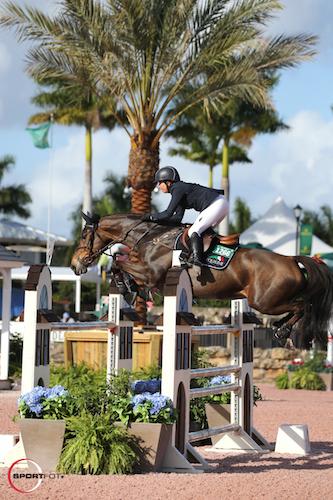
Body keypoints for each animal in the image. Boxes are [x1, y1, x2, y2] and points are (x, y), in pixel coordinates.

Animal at [70, 212, 332, 348]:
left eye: (84, 234)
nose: (75, 264)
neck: (150, 237)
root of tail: (292, 259)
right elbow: (121, 264)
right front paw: (129, 287)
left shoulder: (150, 273)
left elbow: (119, 262)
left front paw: (128, 285)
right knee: (299, 307)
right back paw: (280, 327)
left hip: (264, 301)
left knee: (302, 306)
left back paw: (283, 331)